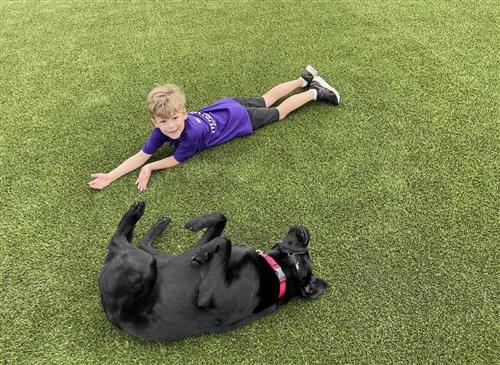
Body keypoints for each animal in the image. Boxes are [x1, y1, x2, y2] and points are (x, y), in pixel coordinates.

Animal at [99, 200, 330, 340]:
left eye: (303, 256)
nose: (305, 231)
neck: (278, 273)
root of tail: (111, 315)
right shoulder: (195, 248)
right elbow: (221, 219)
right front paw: (199, 224)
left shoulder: (209, 296)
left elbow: (224, 240)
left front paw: (205, 252)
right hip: (156, 259)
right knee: (143, 243)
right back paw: (157, 223)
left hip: (145, 265)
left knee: (118, 240)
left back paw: (135, 212)